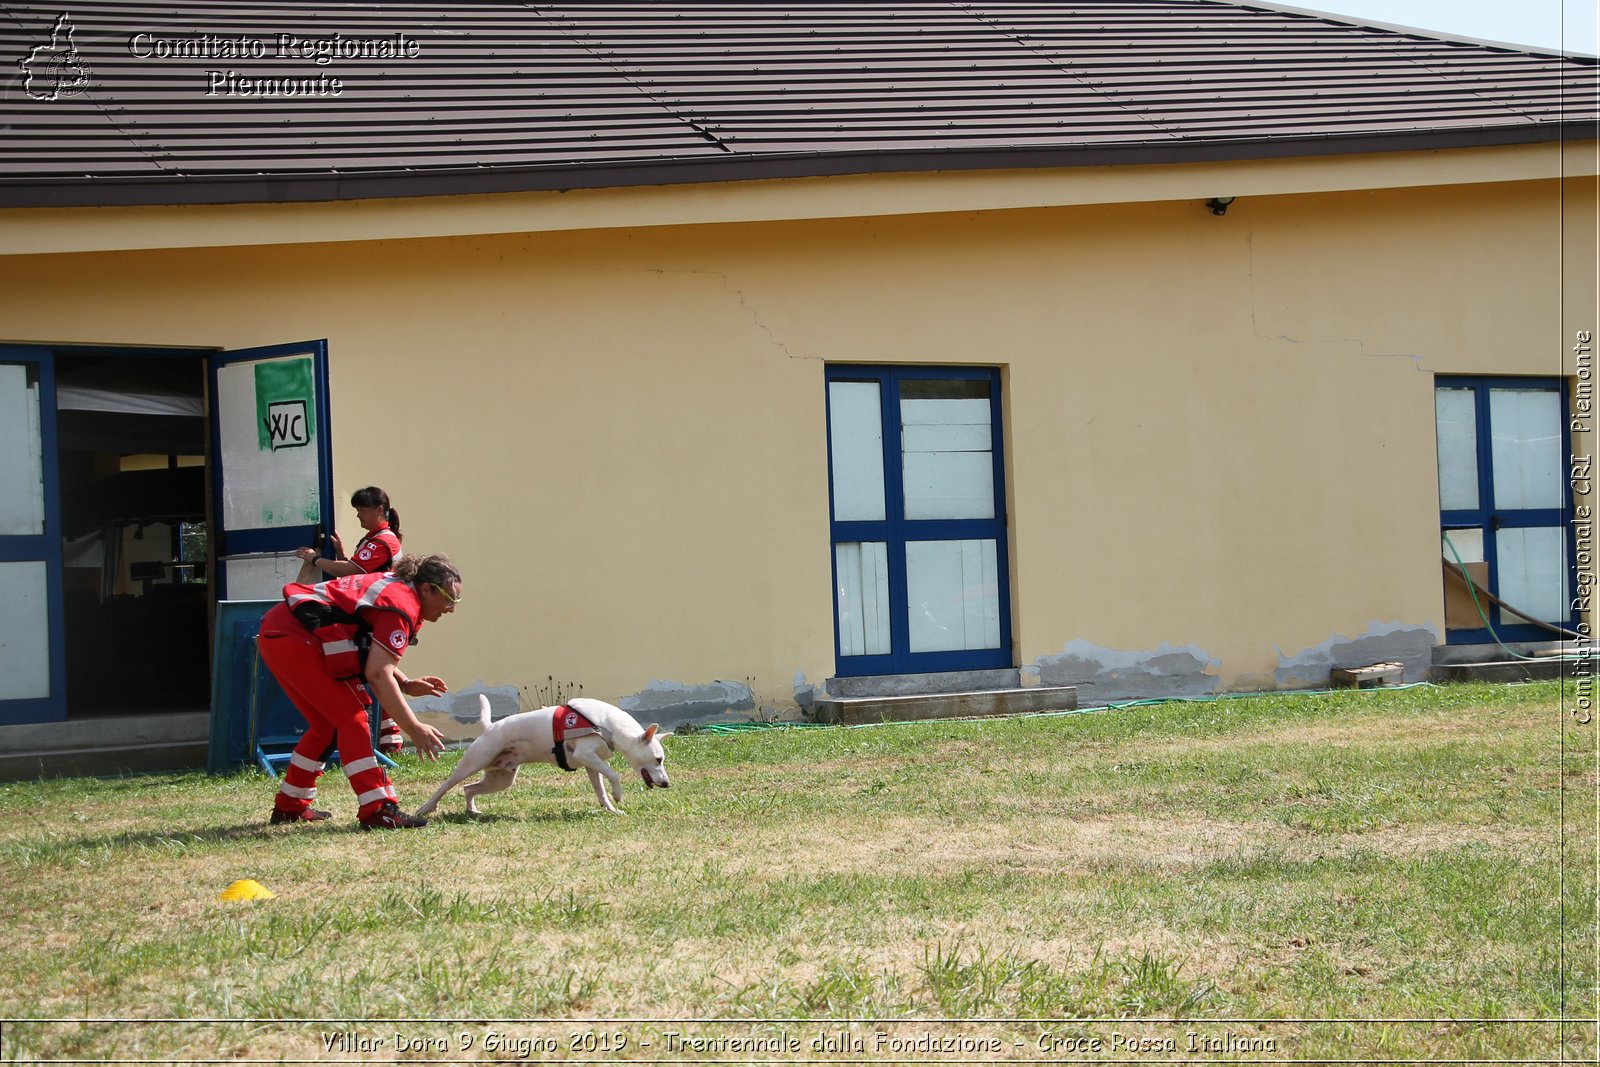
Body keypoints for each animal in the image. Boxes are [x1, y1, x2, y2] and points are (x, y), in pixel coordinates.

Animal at [419, 694, 668, 819]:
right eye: (658, 759)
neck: (608, 725)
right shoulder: (586, 754)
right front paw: (618, 795)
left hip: (501, 779)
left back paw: (472, 811)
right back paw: (426, 808)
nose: (667, 784)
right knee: (447, 785)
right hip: (473, 762)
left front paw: (612, 809)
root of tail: (490, 727)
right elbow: (614, 775)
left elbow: (601, 791)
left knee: (468, 788)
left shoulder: (591, 764)